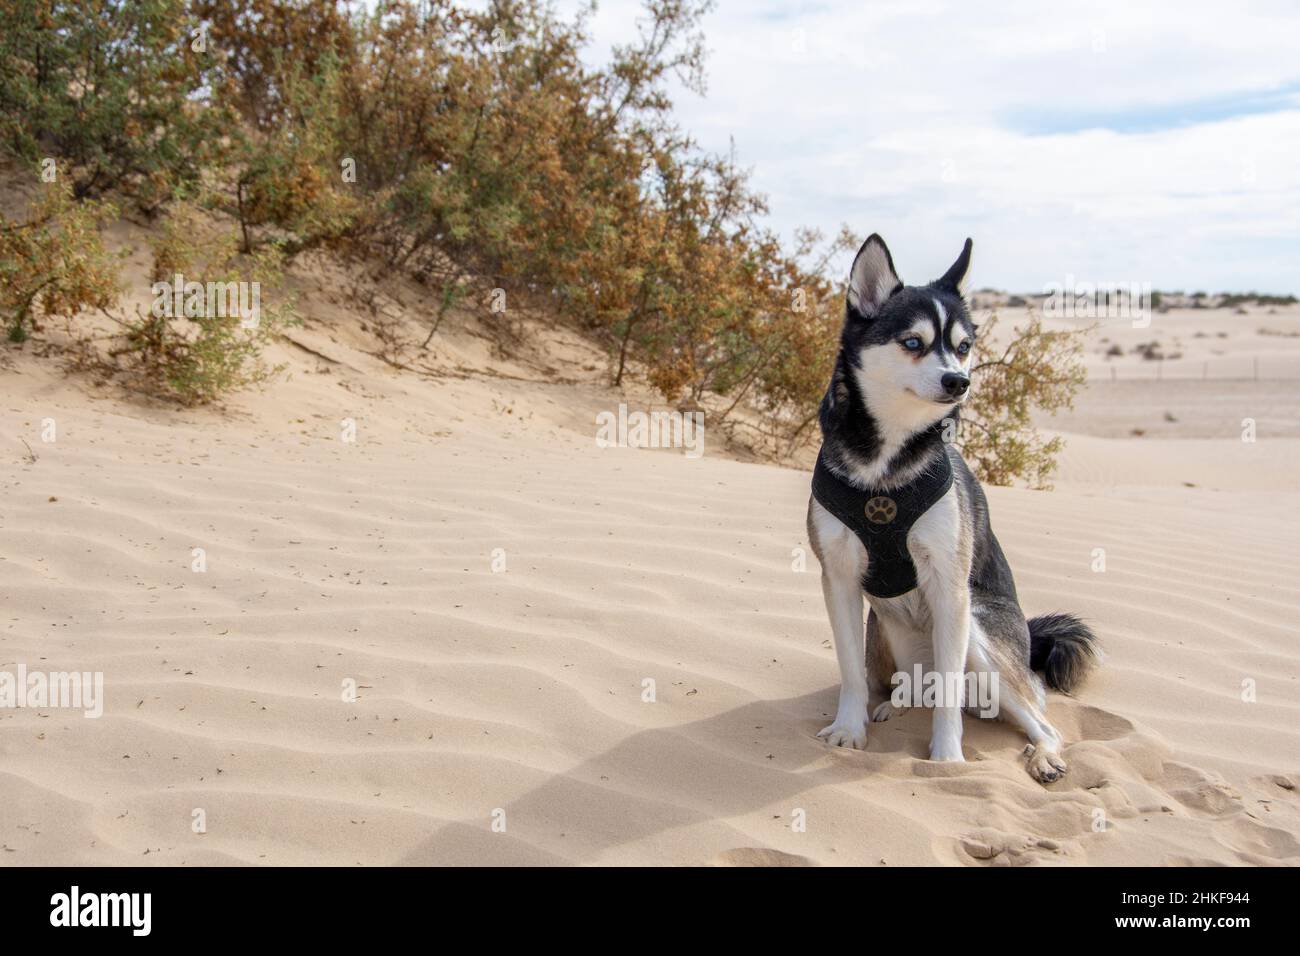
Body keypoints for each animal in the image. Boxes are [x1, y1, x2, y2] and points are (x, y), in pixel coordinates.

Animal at [811, 234, 1097, 785]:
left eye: (964, 347)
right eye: (913, 342)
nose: (958, 381)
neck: (887, 462)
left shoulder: (948, 584)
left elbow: (947, 690)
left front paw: (946, 759)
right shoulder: (838, 576)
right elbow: (851, 673)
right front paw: (850, 729)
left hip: (981, 637)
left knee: (1038, 719)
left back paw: (1044, 756)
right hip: (886, 638)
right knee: (908, 688)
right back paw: (893, 706)